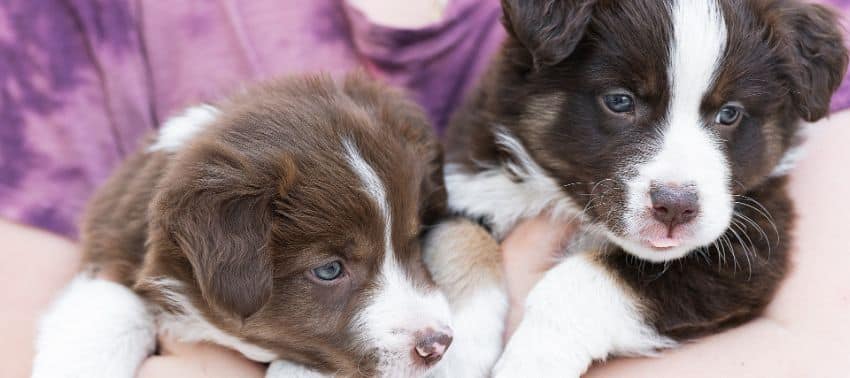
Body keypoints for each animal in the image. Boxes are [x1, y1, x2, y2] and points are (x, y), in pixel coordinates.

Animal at [440, 0, 844, 376]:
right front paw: (462, 351)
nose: (675, 207)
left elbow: (584, 280)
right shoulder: (468, 182)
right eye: (620, 100)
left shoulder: (749, 254)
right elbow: (460, 237)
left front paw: (533, 361)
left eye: (729, 113)